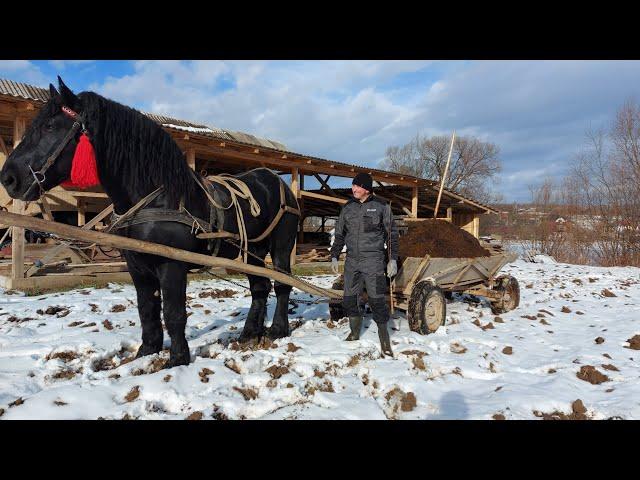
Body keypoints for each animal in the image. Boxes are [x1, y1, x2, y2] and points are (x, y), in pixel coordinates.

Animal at [0, 77, 300, 368]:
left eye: (50, 126)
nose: (9, 178)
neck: (156, 196)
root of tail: (278, 181)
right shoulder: (137, 266)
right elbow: (147, 308)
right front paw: (147, 351)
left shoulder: (172, 265)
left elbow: (173, 312)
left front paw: (177, 359)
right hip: (253, 251)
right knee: (260, 287)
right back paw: (250, 333)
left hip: (281, 245)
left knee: (282, 284)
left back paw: (278, 329)